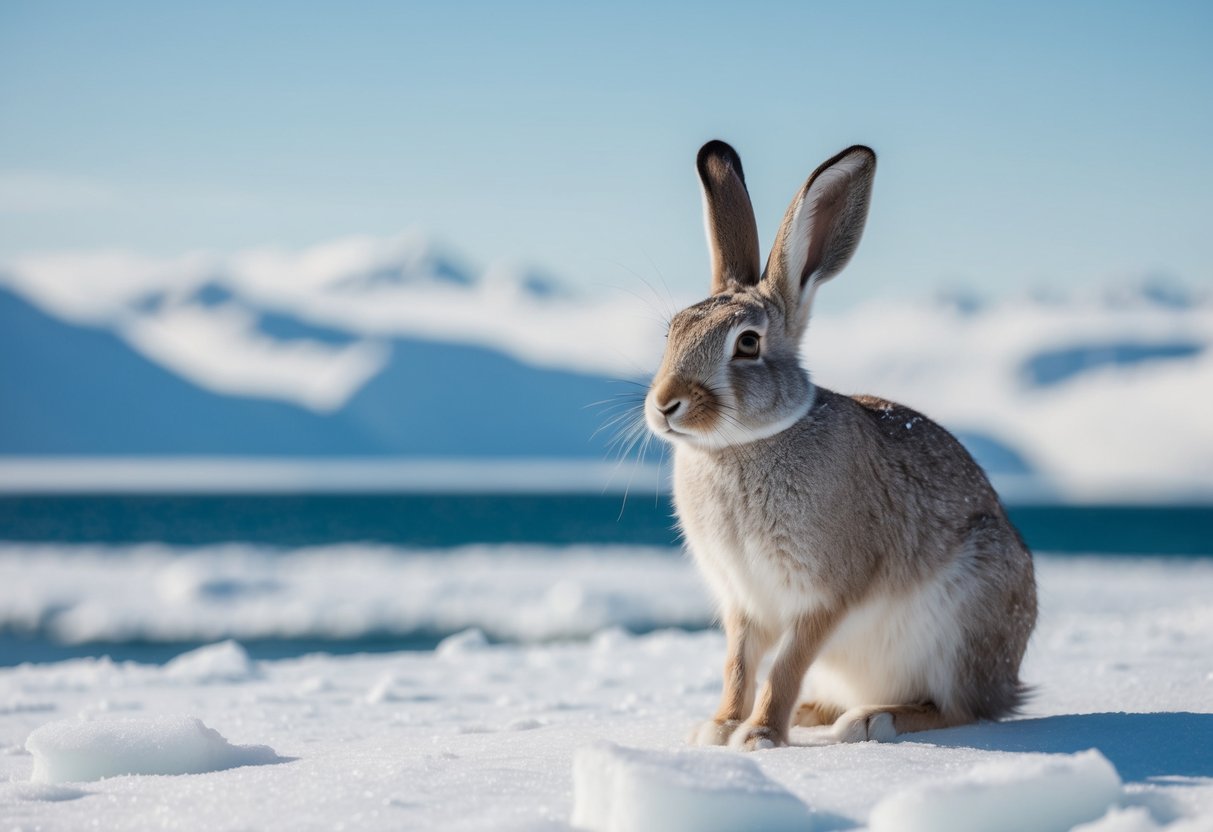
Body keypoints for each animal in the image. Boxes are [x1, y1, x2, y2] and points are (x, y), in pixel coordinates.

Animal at [644, 140, 1037, 750]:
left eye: (748, 344)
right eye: (673, 332)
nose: (665, 404)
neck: (741, 446)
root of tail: (1010, 681)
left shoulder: (824, 594)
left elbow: (785, 664)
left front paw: (759, 737)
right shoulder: (742, 603)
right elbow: (739, 666)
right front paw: (719, 728)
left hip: (965, 624)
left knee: (961, 707)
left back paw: (874, 720)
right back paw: (816, 713)